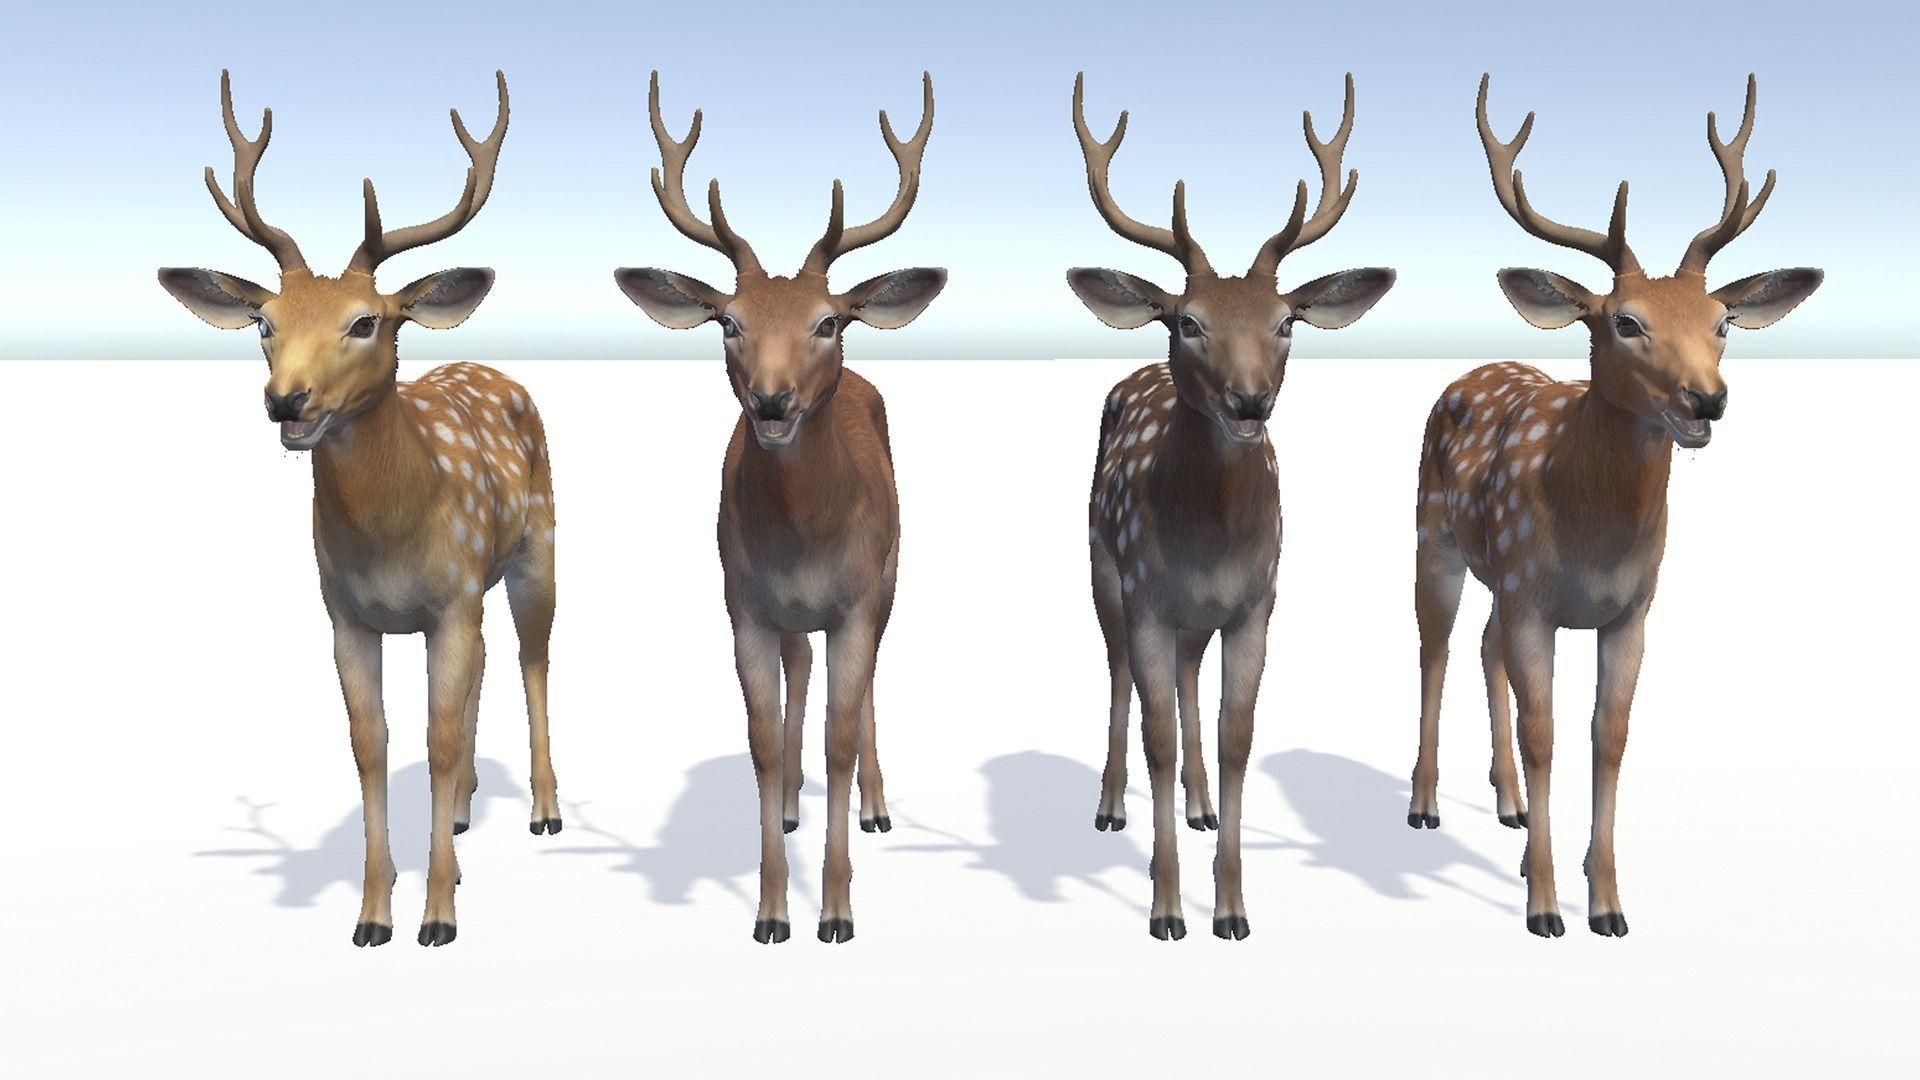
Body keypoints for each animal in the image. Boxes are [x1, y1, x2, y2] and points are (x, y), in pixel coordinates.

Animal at [157, 70, 562, 948]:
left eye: (365, 320)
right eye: (265, 323)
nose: (287, 401)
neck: (391, 536)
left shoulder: (448, 601)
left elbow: (433, 739)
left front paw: (438, 915)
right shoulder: (344, 611)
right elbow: (369, 746)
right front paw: (374, 914)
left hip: (537, 545)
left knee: (532, 657)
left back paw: (544, 811)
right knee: (488, 668)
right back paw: (465, 815)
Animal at [614, 72, 946, 945]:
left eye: (827, 320)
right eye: (729, 321)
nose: (771, 401)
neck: (802, 539)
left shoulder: (857, 600)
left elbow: (840, 731)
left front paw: (836, 910)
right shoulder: (743, 604)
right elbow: (763, 741)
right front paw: (770, 910)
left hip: (890, 579)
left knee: (862, 690)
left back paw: (875, 806)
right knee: (801, 673)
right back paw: (796, 806)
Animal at [1067, 73, 1396, 940]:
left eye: (1286, 322)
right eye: (1189, 321)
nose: (1251, 403)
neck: (1209, 542)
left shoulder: (1257, 603)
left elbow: (1236, 735)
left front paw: (1234, 907)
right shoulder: (1147, 596)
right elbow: (1154, 735)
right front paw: (1166, 908)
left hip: (1195, 617)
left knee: (1188, 681)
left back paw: (1202, 807)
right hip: (1102, 568)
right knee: (1119, 673)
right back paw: (1108, 806)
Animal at [1407, 74, 1823, 938]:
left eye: (1722, 323)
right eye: (1626, 322)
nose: (1708, 400)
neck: (1592, 530)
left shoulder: (1632, 609)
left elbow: (1611, 736)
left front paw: (1606, 902)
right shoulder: (1534, 597)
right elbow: (1544, 732)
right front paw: (1543, 906)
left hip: (1500, 577)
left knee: (1485, 646)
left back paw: (1508, 805)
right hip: (1436, 535)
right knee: (1437, 647)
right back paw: (1426, 804)